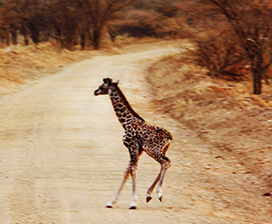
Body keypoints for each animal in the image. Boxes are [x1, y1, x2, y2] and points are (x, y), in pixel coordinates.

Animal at [92, 78, 171, 209]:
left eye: (102, 86)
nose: (95, 91)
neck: (125, 122)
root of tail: (169, 137)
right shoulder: (138, 150)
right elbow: (127, 171)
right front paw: (111, 202)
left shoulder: (132, 146)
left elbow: (133, 171)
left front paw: (133, 203)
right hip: (161, 150)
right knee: (166, 163)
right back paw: (149, 194)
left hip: (151, 149)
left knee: (165, 162)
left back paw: (159, 194)